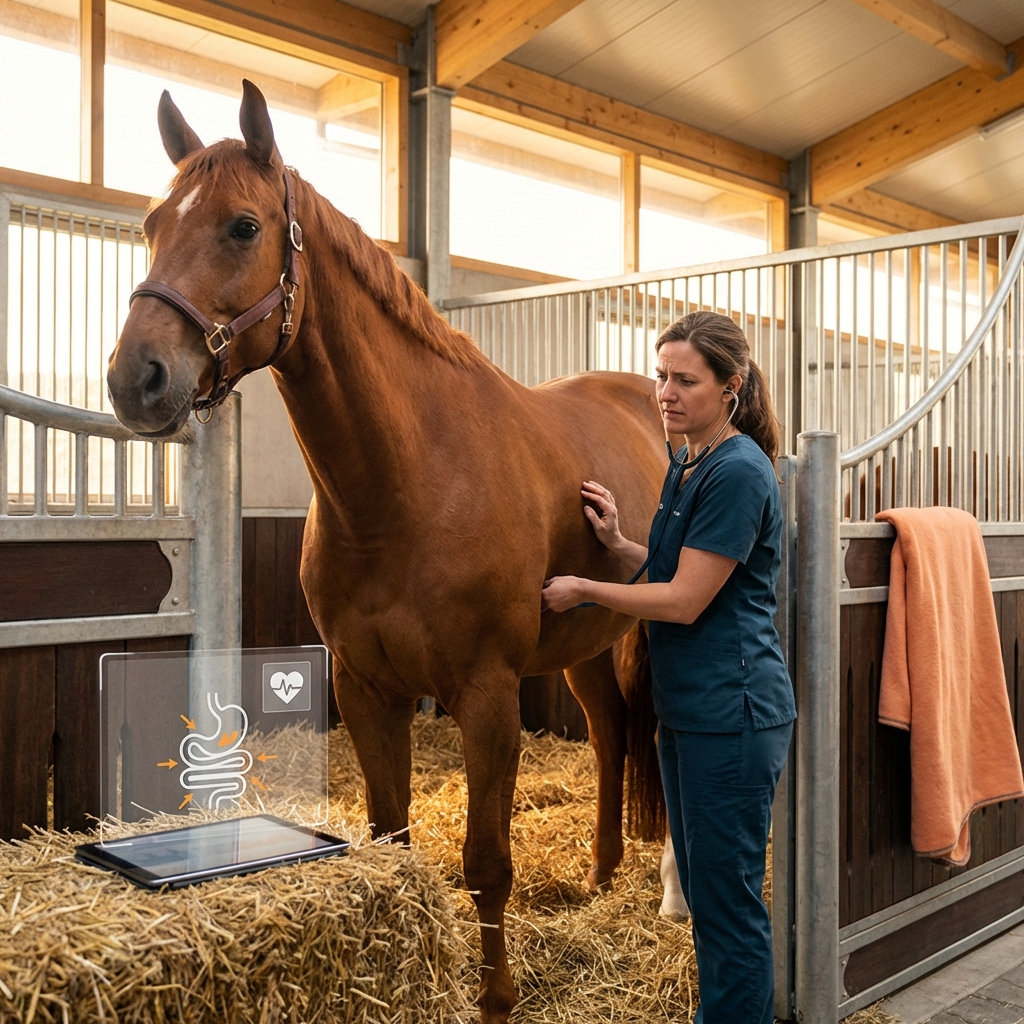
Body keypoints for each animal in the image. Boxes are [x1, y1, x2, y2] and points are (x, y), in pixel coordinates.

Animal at [106, 80, 668, 1023]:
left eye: (244, 226)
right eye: (151, 224)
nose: (133, 379)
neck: (407, 486)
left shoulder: (486, 696)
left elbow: (487, 863)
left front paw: (496, 995)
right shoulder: (367, 689)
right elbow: (392, 835)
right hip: (584, 641)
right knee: (611, 733)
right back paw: (600, 873)